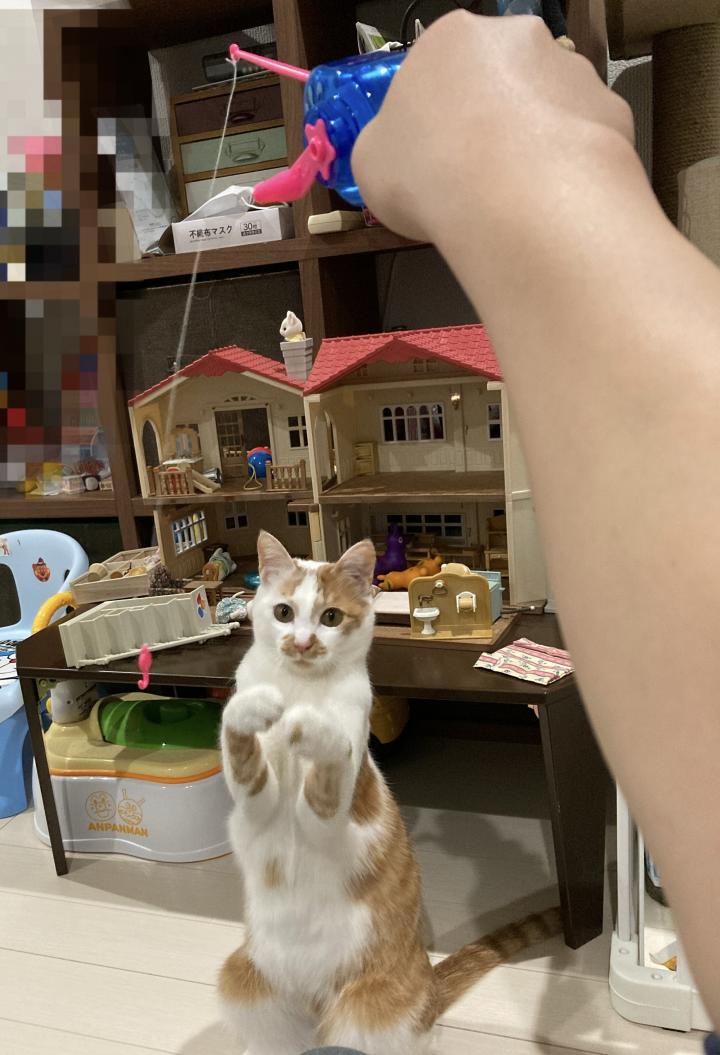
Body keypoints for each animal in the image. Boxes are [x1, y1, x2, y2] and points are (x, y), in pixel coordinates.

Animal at [219, 531, 561, 1055]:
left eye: (331, 617)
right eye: (282, 612)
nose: (303, 642)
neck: (301, 687)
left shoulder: (331, 810)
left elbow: (332, 749)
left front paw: (307, 724)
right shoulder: (255, 802)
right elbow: (236, 729)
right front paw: (257, 707)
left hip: (367, 1006)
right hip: (242, 977)